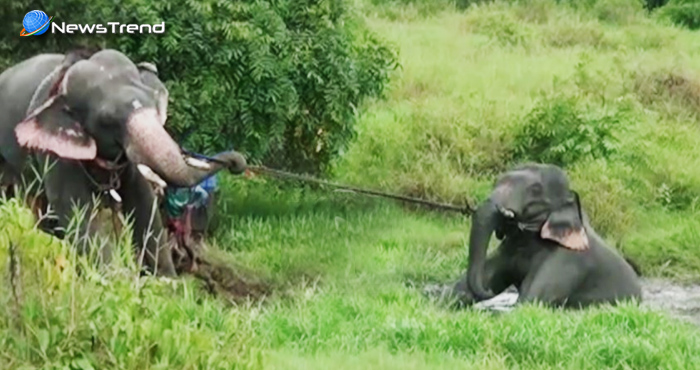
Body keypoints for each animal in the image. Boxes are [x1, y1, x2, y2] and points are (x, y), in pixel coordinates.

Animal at [0, 48, 246, 274]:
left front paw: (166, 280)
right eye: (107, 120)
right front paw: (116, 277)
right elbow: (76, 211)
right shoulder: (55, 152)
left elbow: (145, 204)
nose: (237, 163)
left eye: (153, 103)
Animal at [440, 163, 644, 308]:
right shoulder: (508, 249)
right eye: (495, 181)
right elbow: (458, 293)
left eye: (535, 190)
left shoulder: (567, 260)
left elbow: (530, 301)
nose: (489, 291)